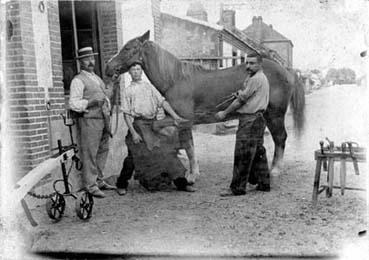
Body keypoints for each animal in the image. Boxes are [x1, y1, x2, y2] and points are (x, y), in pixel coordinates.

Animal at [105, 30, 304, 184]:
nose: (108, 67)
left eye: (128, 48)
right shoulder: (179, 120)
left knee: (280, 138)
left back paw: (275, 170)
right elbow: (169, 133)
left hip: (275, 115)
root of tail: (286, 71)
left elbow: (187, 144)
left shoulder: (184, 121)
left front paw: (192, 175)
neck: (176, 79)